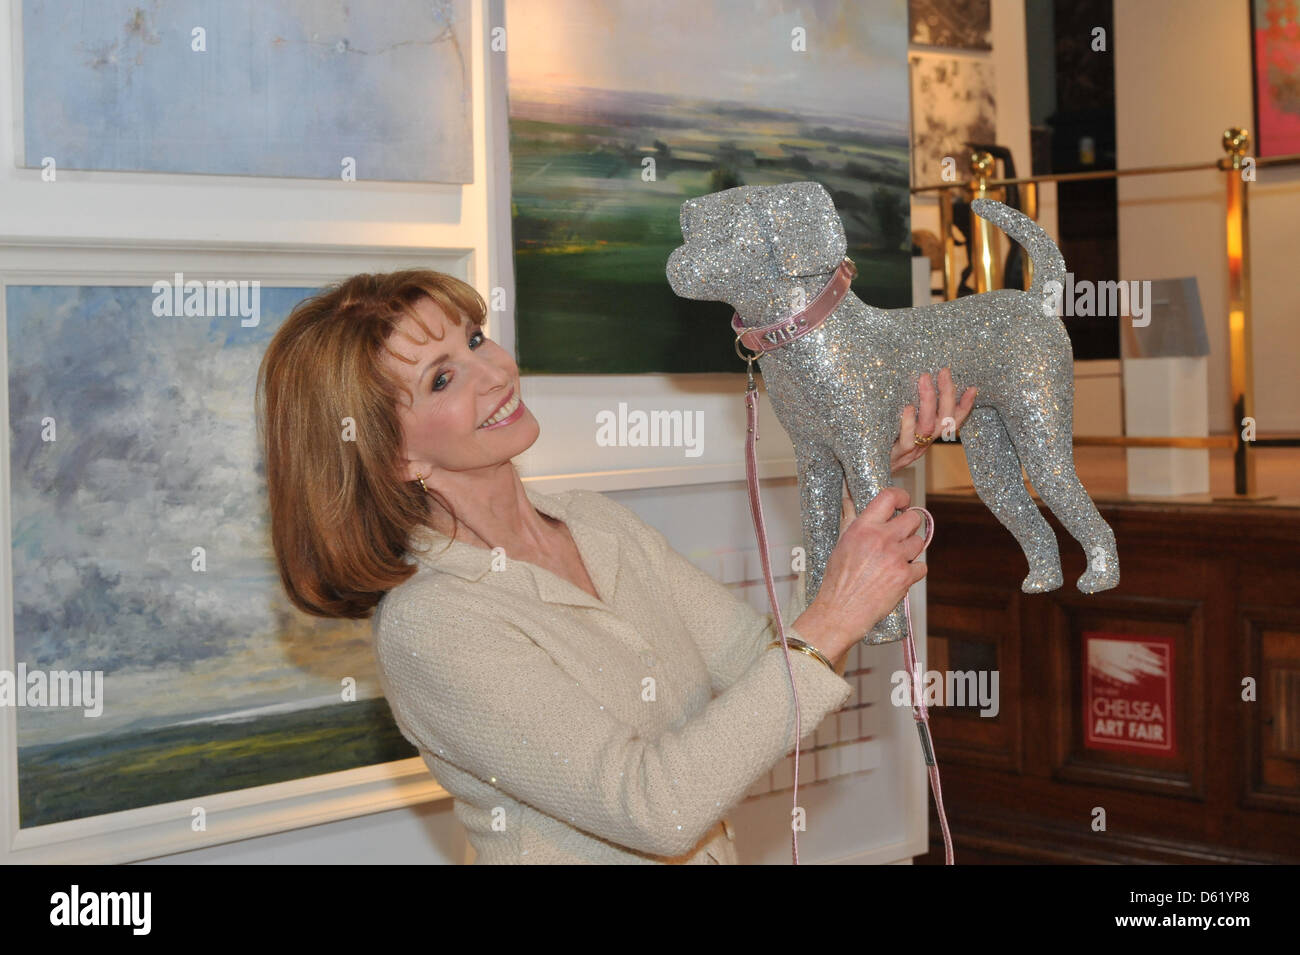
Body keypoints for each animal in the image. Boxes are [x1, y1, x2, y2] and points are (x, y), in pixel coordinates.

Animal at [670, 180, 1118, 641]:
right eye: (694, 229)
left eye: (731, 234)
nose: (676, 263)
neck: (813, 338)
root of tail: (1037, 300)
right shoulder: (814, 459)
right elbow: (818, 540)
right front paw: (809, 616)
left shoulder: (862, 450)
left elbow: (871, 525)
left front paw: (885, 630)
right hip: (990, 449)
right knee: (1026, 513)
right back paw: (1043, 580)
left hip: (1040, 424)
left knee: (1078, 504)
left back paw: (1100, 577)